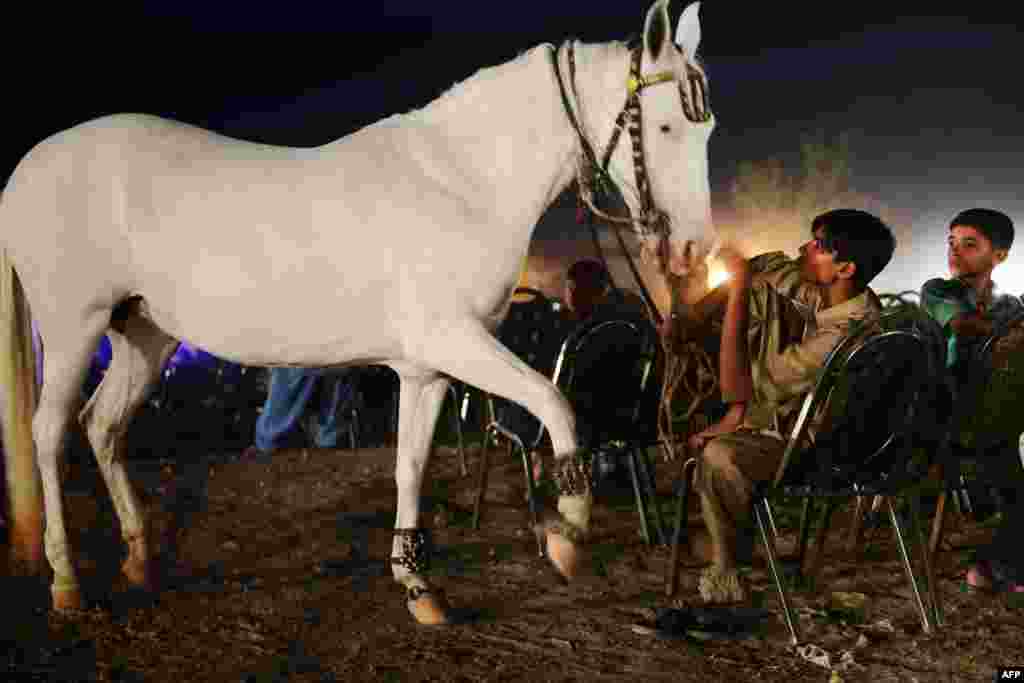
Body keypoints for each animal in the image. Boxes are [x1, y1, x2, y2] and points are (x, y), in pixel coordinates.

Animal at [2, 0, 720, 626]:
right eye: (663, 127)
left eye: (705, 128)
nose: (694, 248)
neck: (464, 182)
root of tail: (24, 173)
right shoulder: (456, 342)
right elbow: (555, 401)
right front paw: (567, 537)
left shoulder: (426, 369)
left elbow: (410, 466)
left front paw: (419, 586)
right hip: (73, 332)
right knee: (51, 432)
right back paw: (67, 584)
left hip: (143, 335)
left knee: (102, 426)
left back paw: (138, 562)